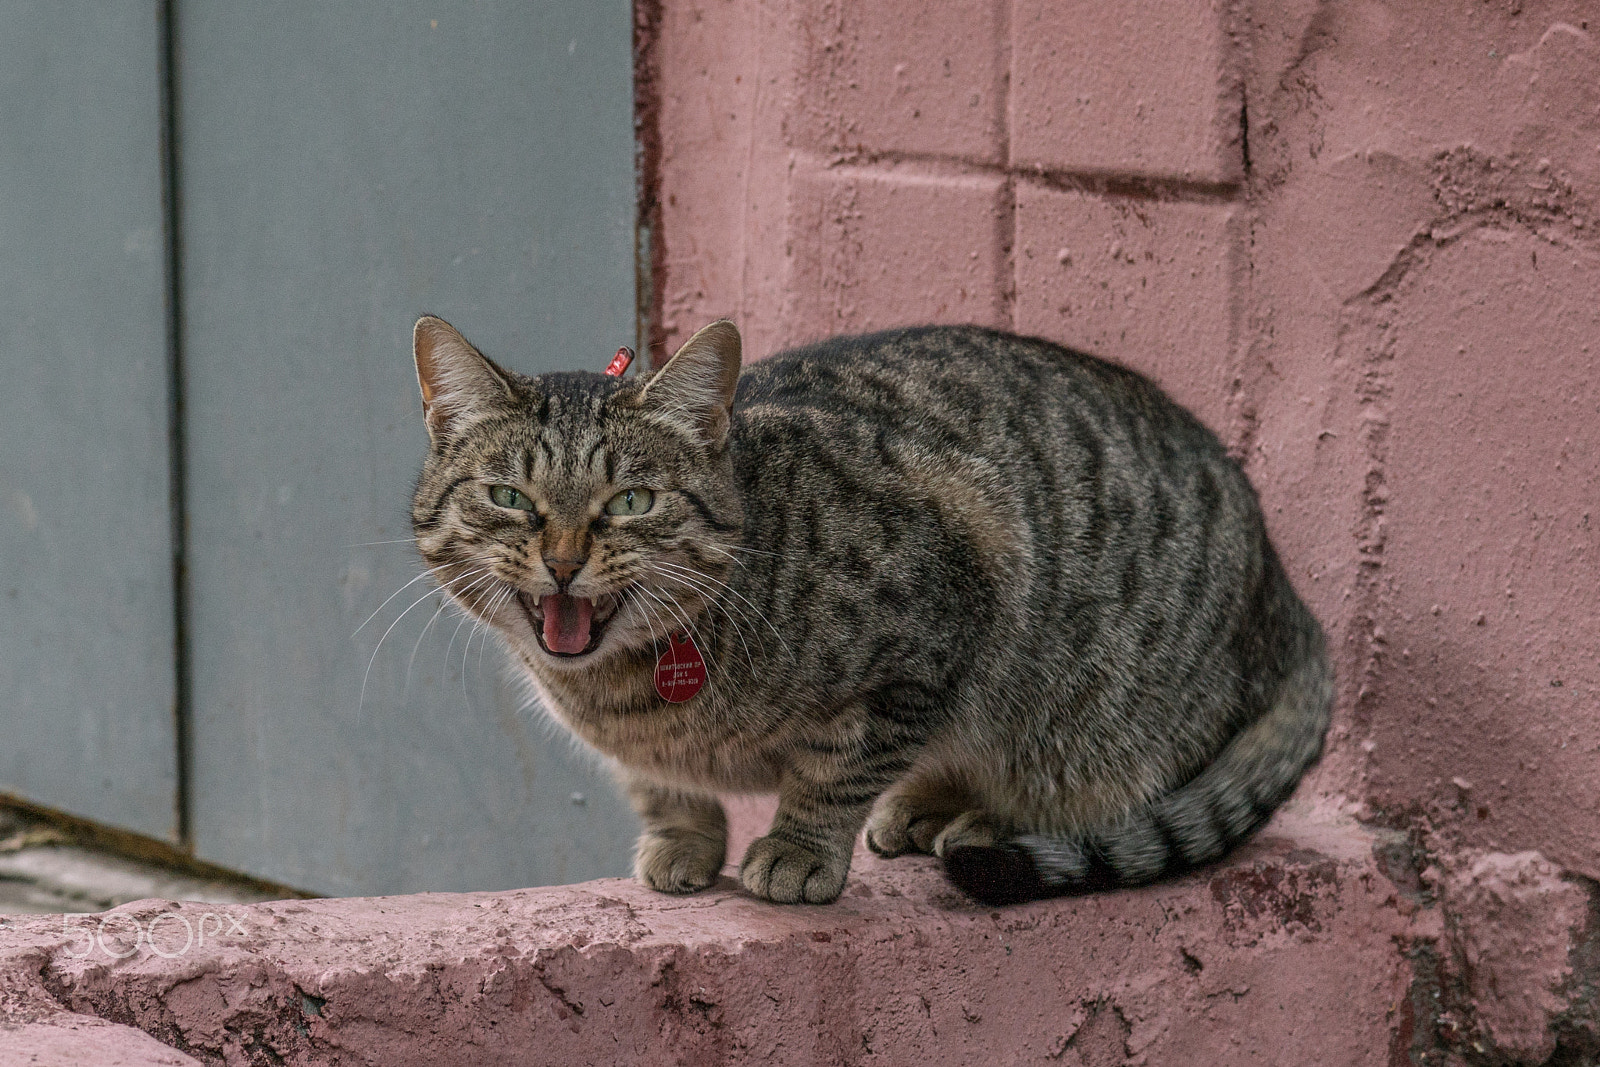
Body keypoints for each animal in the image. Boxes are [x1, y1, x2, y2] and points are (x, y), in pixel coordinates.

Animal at [406, 313, 1331, 908]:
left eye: (632, 500)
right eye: (508, 497)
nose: (563, 562)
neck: (629, 692)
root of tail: (1293, 602)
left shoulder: (930, 632)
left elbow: (833, 769)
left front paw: (796, 849)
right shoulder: (644, 756)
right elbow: (662, 789)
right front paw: (685, 840)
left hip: (1087, 704)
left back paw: (977, 818)